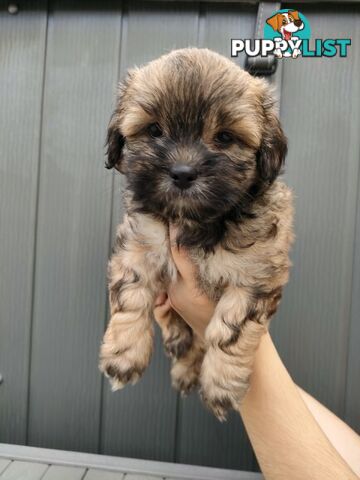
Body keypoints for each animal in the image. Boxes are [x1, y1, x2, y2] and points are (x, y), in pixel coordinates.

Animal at [98, 47, 292, 420]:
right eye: (155, 130)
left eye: (225, 137)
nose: (183, 173)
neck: (196, 220)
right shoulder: (139, 246)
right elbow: (131, 296)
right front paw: (124, 355)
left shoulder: (255, 275)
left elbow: (229, 331)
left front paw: (221, 385)